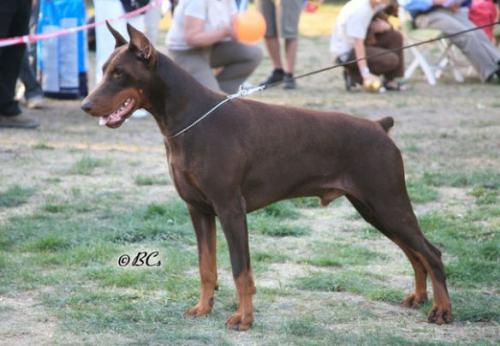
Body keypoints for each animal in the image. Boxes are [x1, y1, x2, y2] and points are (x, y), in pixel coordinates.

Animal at [80, 23, 452, 332]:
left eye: (119, 73)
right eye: (103, 69)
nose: (85, 105)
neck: (189, 119)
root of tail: (379, 126)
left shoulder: (230, 209)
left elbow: (240, 270)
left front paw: (243, 319)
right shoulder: (198, 210)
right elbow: (206, 267)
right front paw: (203, 308)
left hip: (387, 200)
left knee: (431, 253)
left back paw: (441, 310)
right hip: (372, 207)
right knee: (414, 253)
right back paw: (419, 298)